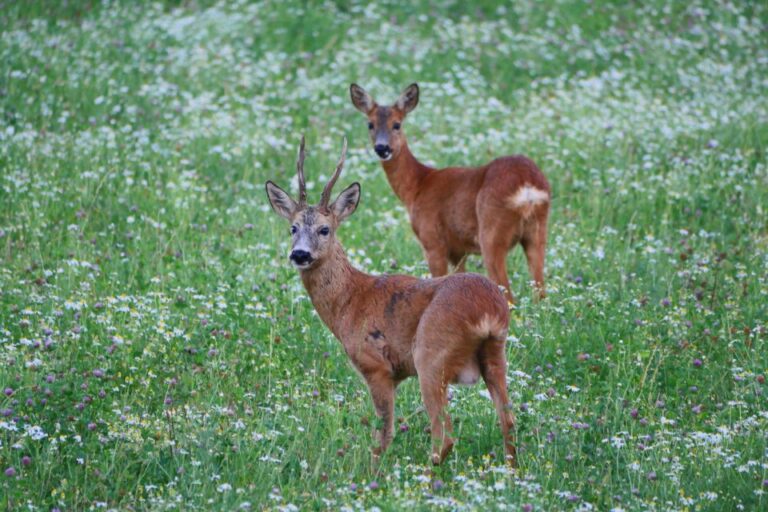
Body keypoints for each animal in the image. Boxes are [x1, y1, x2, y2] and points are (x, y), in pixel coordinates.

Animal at [264, 138, 516, 466]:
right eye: (292, 228)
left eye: (324, 229)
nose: (300, 254)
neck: (351, 300)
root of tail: (488, 310)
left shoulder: (376, 366)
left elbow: (382, 434)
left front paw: (372, 471)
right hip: (496, 353)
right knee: (508, 422)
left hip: (431, 355)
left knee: (444, 434)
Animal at [352, 82, 548, 302]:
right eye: (370, 124)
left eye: (397, 124)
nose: (382, 148)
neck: (418, 185)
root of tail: (527, 186)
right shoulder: (458, 250)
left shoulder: (433, 241)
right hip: (537, 232)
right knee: (541, 291)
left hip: (491, 232)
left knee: (508, 293)